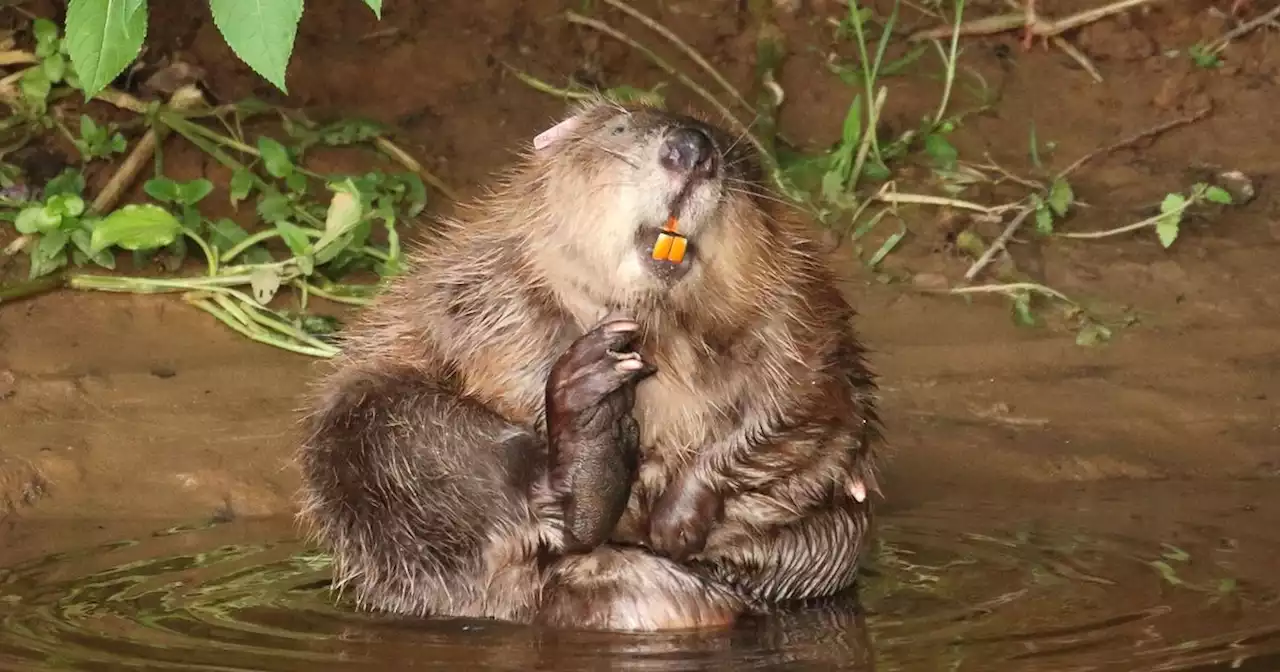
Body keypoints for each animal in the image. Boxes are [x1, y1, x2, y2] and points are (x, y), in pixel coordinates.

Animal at [294, 96, 885, 632]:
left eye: (739, 159)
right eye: (620, 127)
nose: (692, 150)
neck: (661, 324)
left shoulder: (802, 310)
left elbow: (801, 407)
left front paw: (675, 520)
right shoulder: (484, 281)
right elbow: (489, 350)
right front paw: (607, 369)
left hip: (834, 546)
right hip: (375, 430)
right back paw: (588, 424)